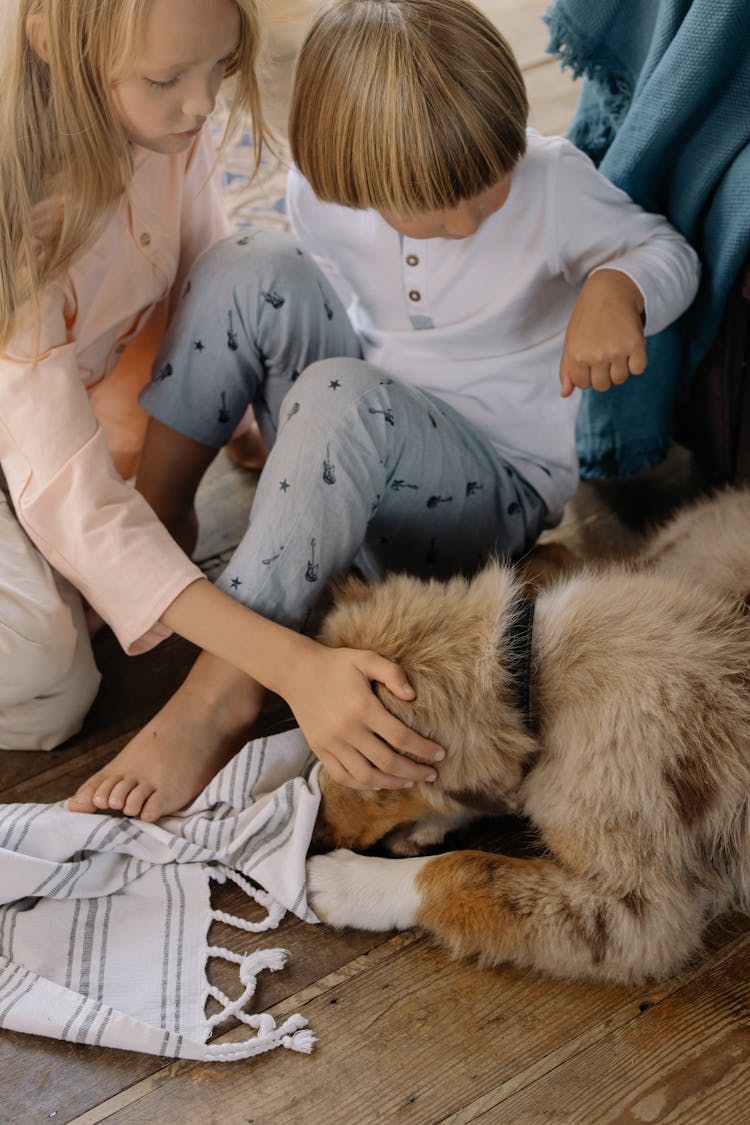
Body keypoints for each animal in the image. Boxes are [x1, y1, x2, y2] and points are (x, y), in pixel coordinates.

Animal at [305, 488, 750, 981]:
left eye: (366, 773)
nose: (315, 832)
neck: (528, 671)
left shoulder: (639, 912)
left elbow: (466, 869)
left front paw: (343, 882)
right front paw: (429, 824)